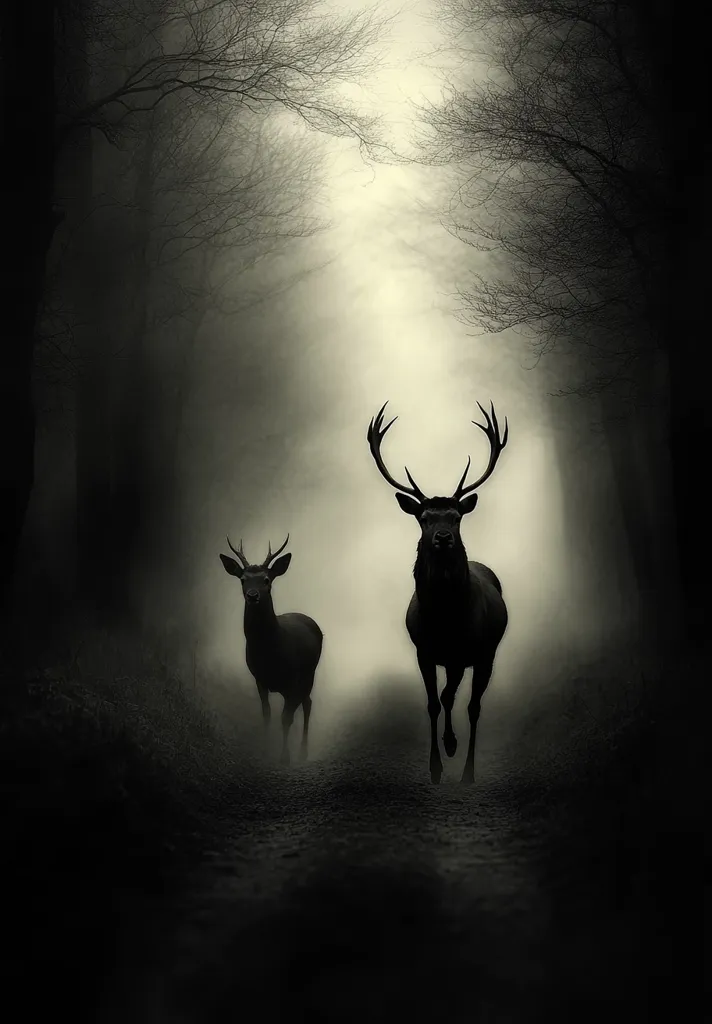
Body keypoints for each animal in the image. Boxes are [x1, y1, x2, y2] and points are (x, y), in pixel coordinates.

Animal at [219, 534, 323, 766]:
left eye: (266, 580)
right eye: (243, 579)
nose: (252, 595)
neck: (270, 652)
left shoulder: (293, 678)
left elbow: (286, 718)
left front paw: (285, 757)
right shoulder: (259, 678)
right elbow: (266, 714)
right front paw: (265, 751)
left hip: (309, 674)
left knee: (308, 703)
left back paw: (303, 753)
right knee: (306, 702)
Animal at [367, 401, 510, 785]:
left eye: (456, 517)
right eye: (424, 517)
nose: (443, 538)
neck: (445, 617)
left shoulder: (467, 652)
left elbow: (454, 700)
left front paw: (453, 752)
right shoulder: (425, 650)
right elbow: (433, 702)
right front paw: (434, 766)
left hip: (486, 654)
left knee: (473, 706)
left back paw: (466, 766)